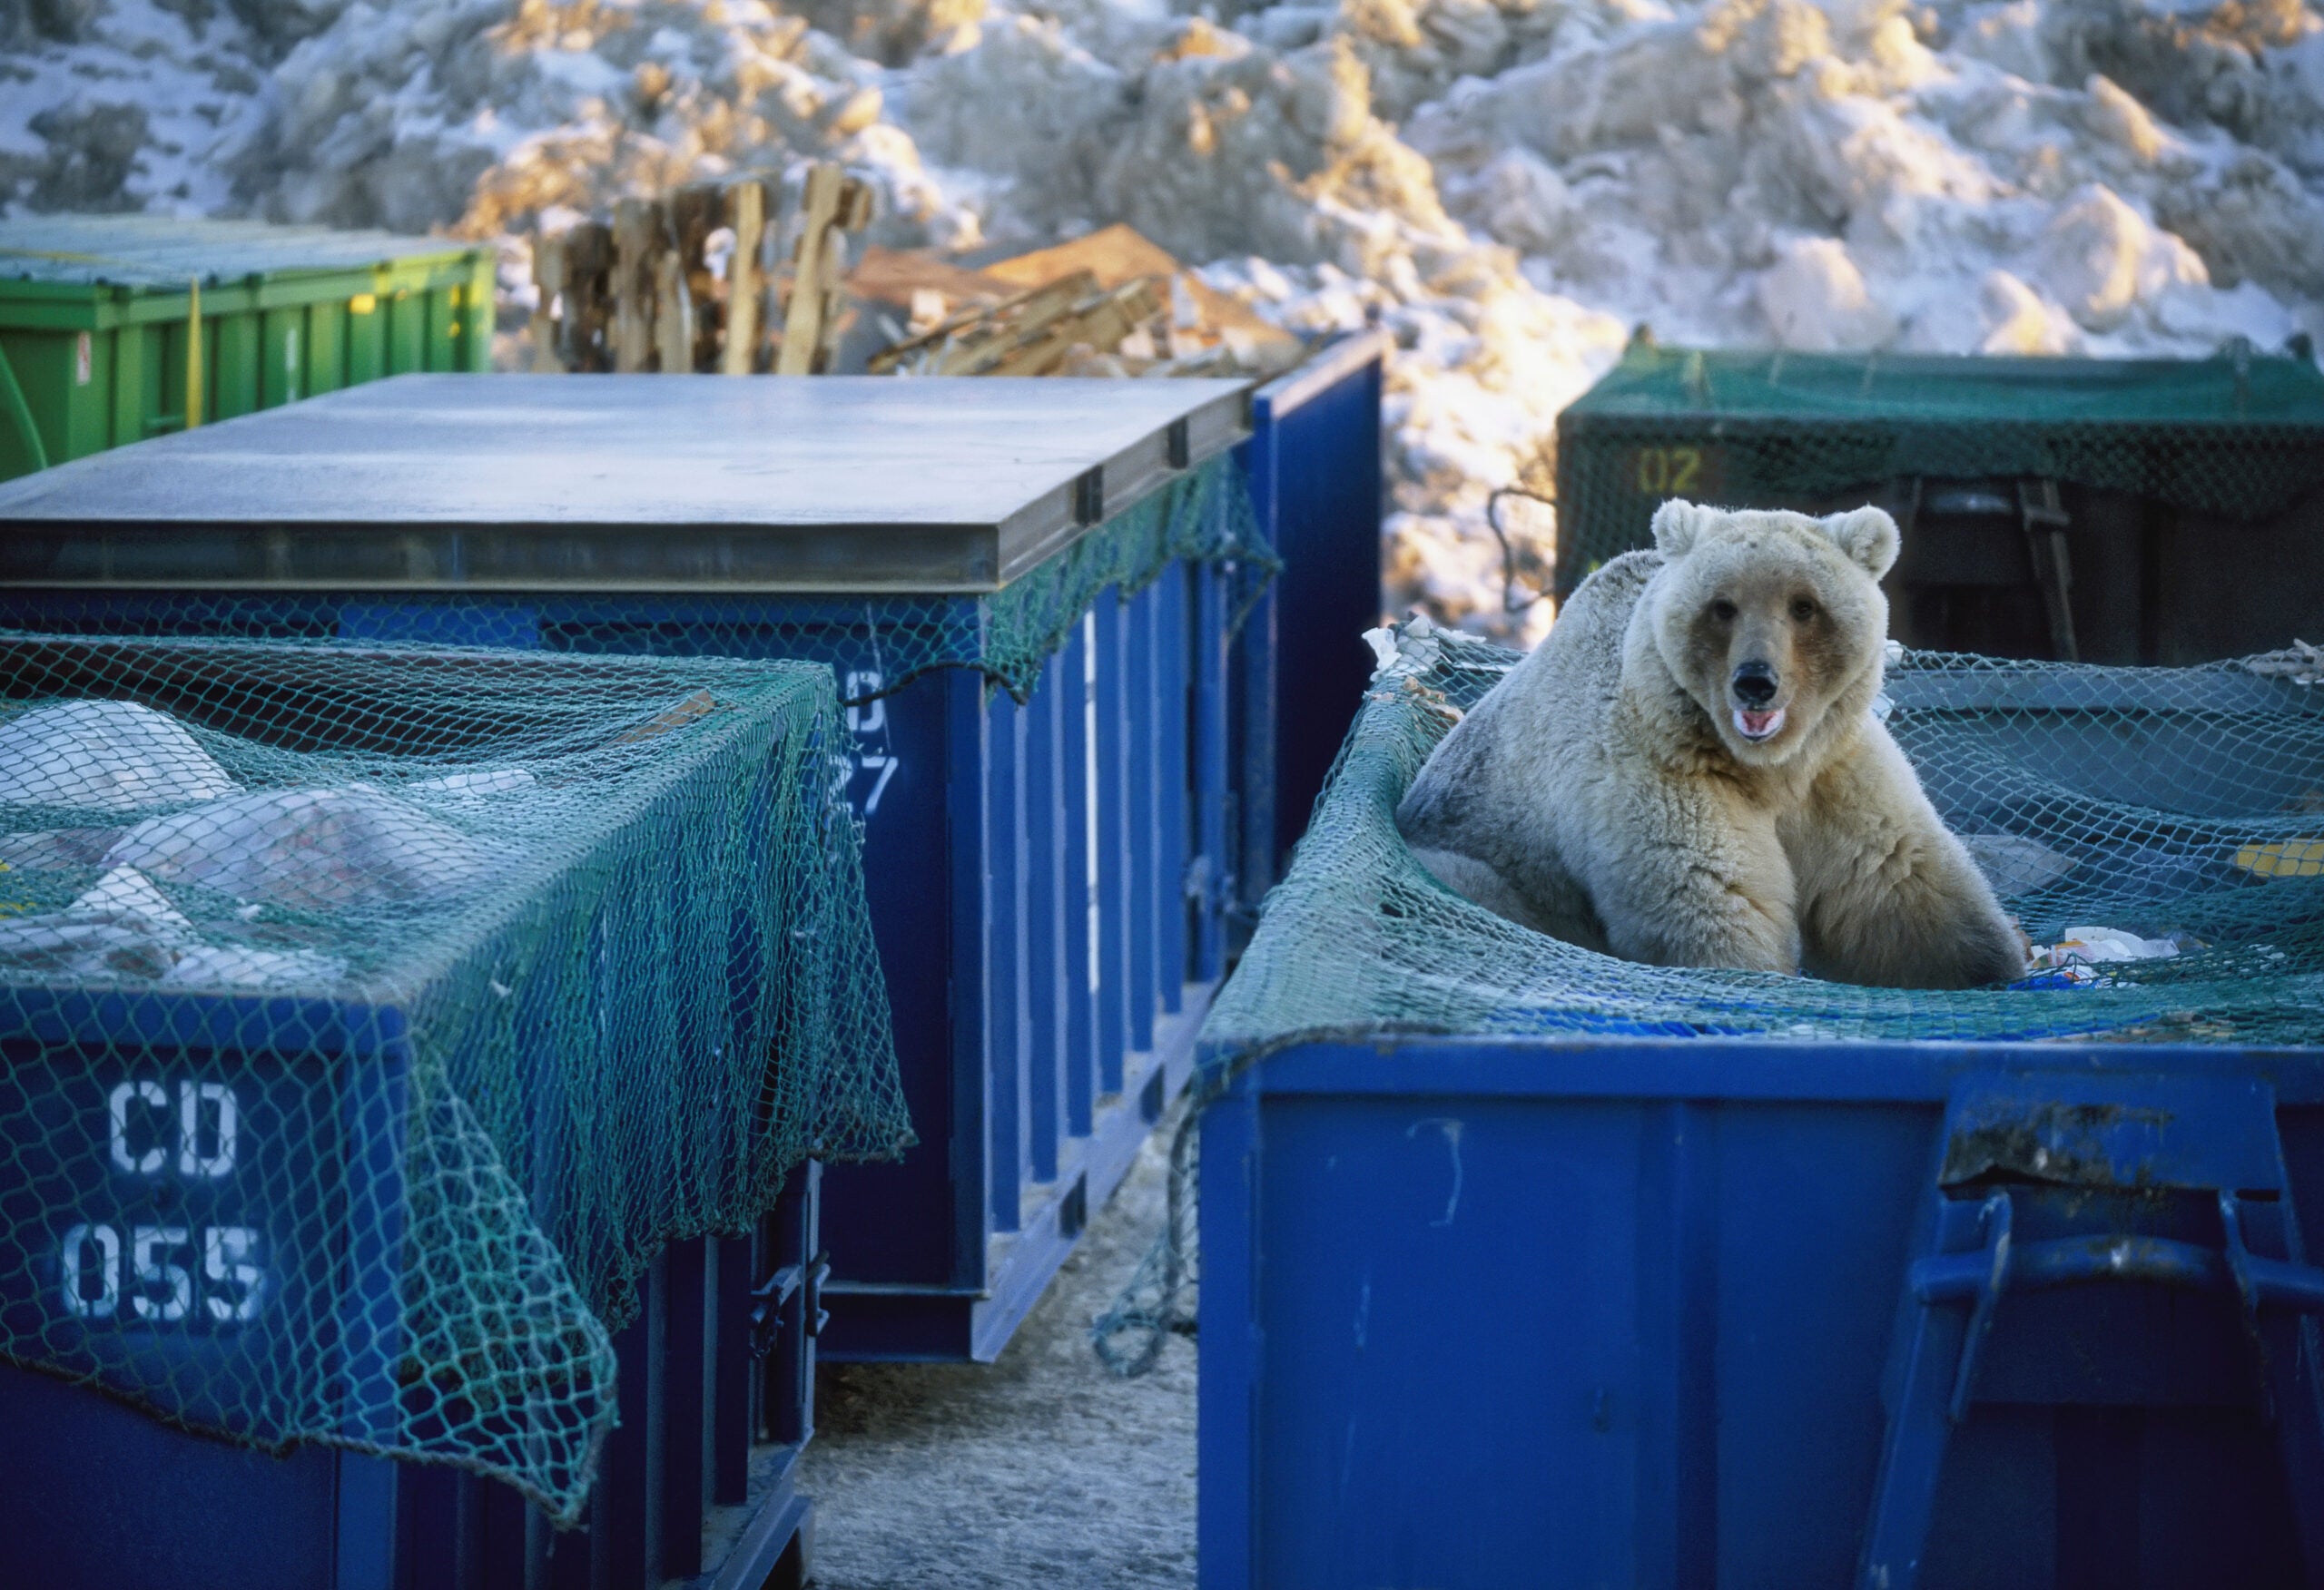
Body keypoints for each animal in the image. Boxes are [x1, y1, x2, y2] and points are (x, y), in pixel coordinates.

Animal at [1395, 498, 2026, 990]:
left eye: (1805, 606)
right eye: (1723, 606)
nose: (1755, 681)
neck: (1763, 764)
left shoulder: (1833, 767)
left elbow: (1894, 883)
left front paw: (1990, 966)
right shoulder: (1659, 775)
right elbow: (1713, 903)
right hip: (1481, 866)